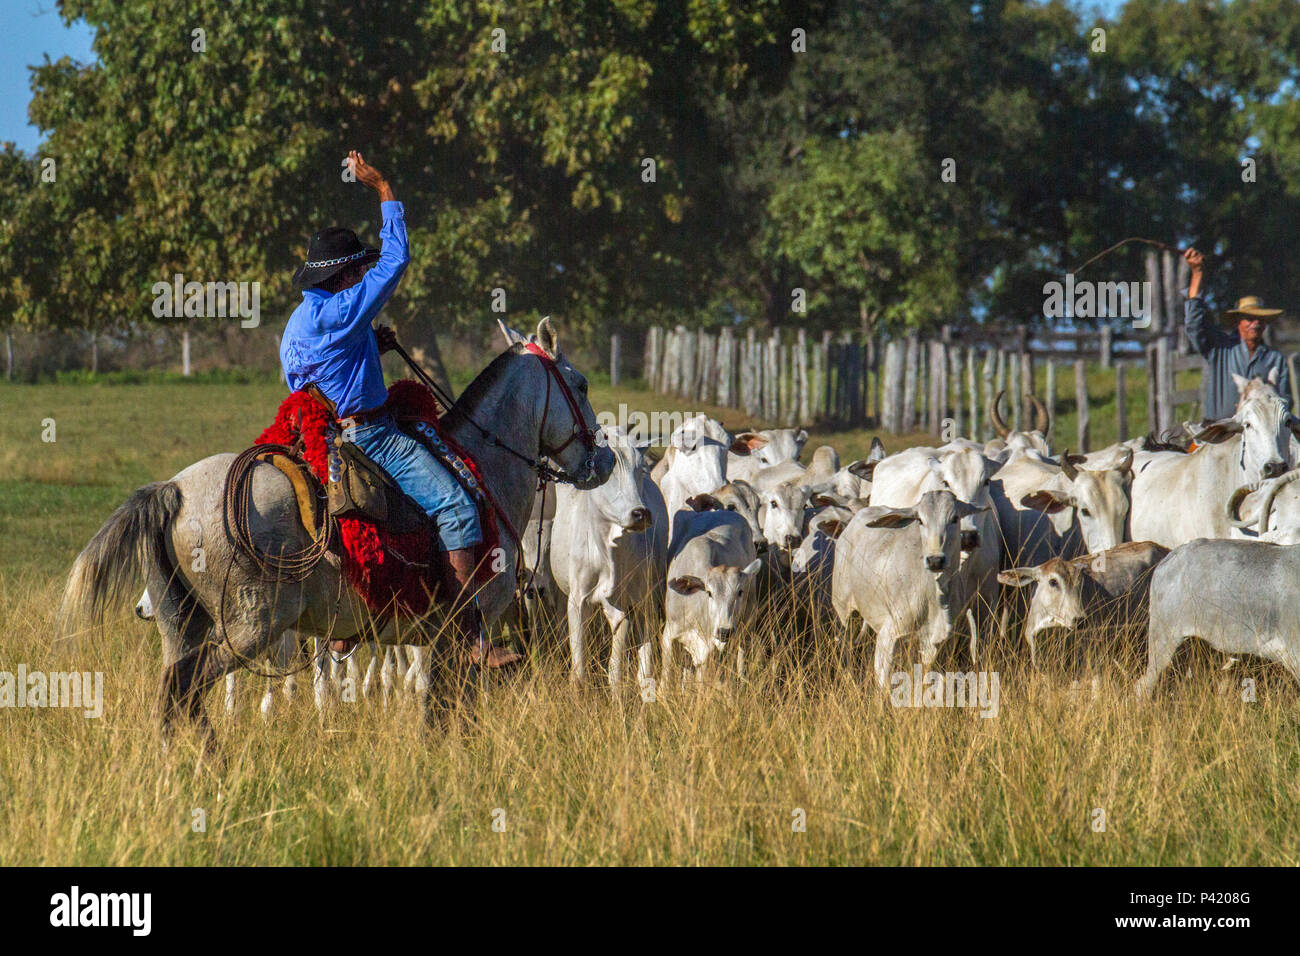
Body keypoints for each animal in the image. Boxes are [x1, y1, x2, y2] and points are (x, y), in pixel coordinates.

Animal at [55, 317, 613, 749]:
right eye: (581, 383)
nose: (604, 461)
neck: (483, 465)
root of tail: (173, 489)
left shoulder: (434, 641)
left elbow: (433, 713)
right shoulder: (466, 635)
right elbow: (451, 714)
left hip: (180, 624)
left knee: (176, 697)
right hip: (247, 628)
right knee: (183, 690)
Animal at [551, 429, 670, 686]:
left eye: (640, 470)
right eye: (610, 469)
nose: (640, 514)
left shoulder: (622, 603)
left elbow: (615, 669)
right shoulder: (577, 600)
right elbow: (579, 669)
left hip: (647, 595)